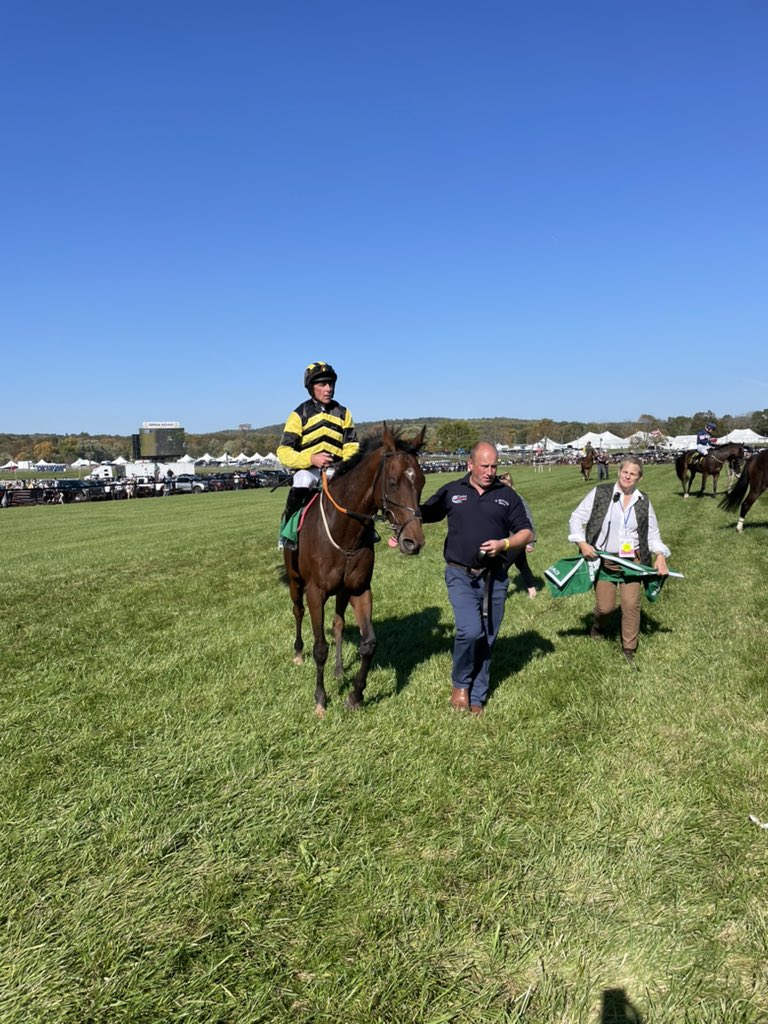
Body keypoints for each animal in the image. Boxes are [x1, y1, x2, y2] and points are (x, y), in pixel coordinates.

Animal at [282, 419, 428, 716]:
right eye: (393, 482)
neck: (345, 531)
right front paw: (320, 699)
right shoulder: (315, 592)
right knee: (297, 611)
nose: (413, 542)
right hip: (294, 580)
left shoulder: (360, 589)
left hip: (342, 591)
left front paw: (355, 695)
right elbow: (320, 647)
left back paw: (339, 670)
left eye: (421, 481)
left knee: (338, 623)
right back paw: (298, 653)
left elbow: (368, 643)